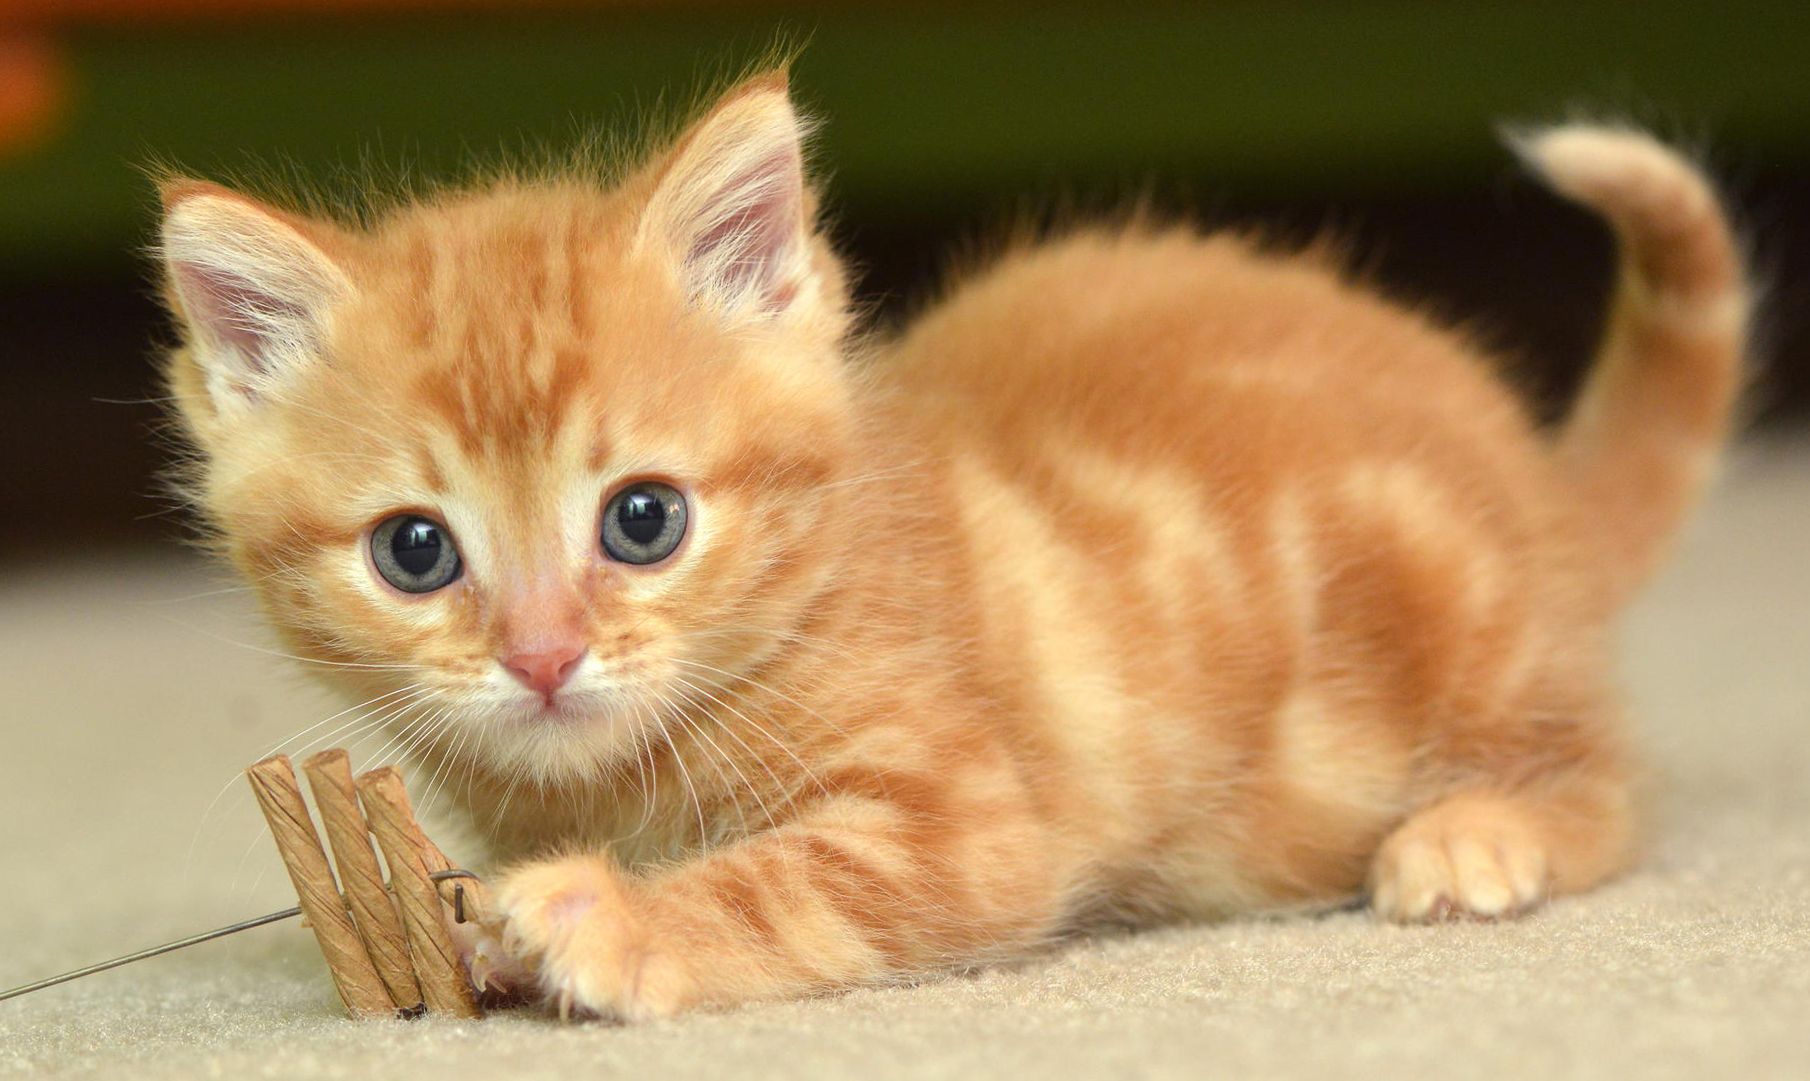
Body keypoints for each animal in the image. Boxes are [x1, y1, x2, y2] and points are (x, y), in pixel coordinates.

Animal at [159, 71, 1752, 1014]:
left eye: (643, 519)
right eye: (415, 553)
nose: (544, 657)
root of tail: (1530, 475)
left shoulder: (976, 826)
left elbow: (792, 882)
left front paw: (602, 921)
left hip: (1466, 628)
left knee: (1605, 776)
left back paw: (1480, 832)